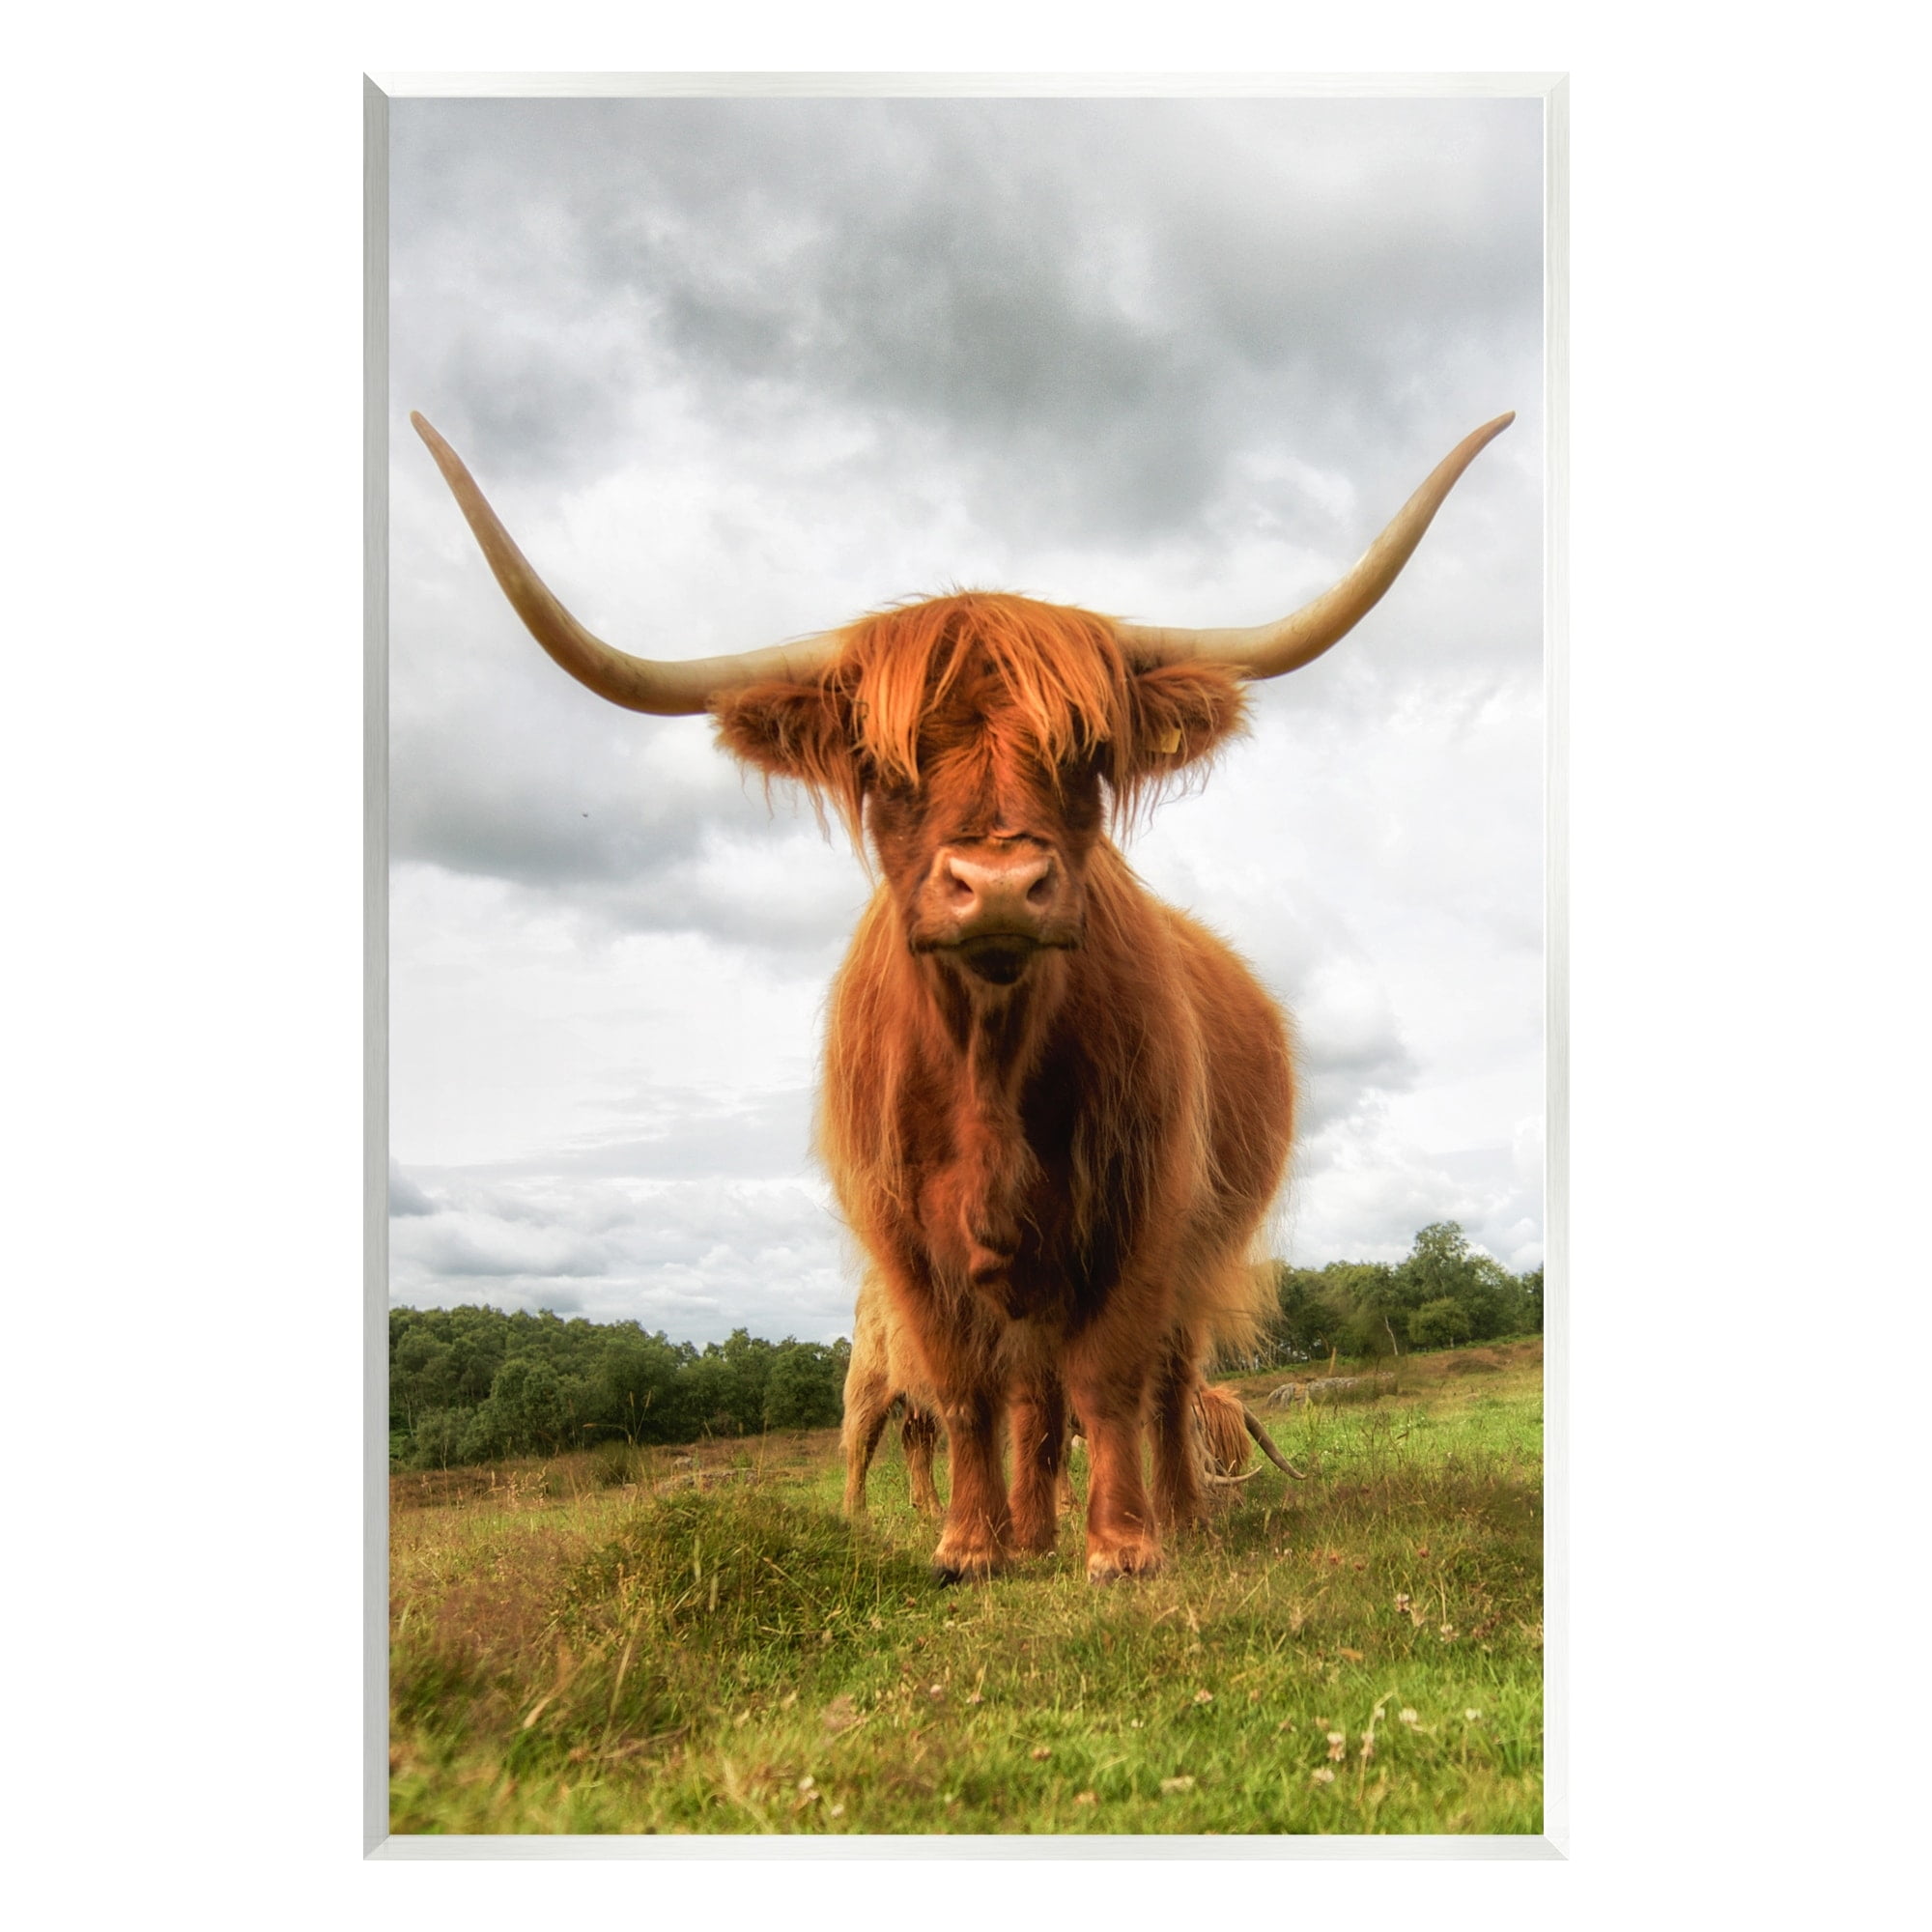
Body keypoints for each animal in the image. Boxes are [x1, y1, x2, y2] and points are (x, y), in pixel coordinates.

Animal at [412, 408, 1512, 1583]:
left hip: (1195, 1242)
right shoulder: (904, 1236)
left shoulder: (1139, 1207)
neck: (988, 1063)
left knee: (1160, 1378)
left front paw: (1121, 1548)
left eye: (1086, 750)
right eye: (883, 762)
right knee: (996, 1401)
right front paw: (972, 1546)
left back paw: (1176, 1514)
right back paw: (1023, 1526)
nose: (996, 884)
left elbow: (1110, 1377)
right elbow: (966, 1388)